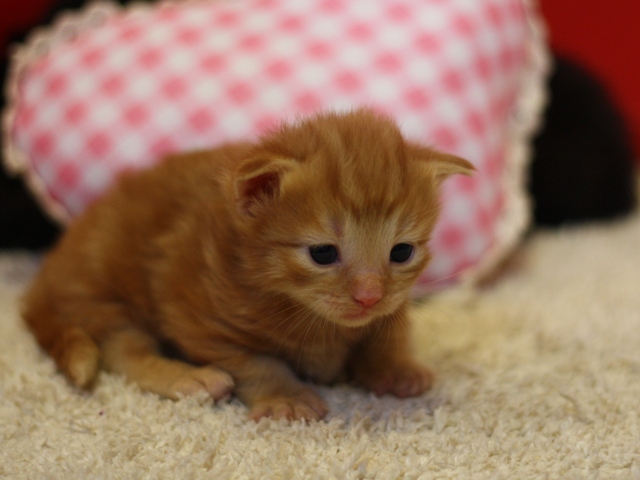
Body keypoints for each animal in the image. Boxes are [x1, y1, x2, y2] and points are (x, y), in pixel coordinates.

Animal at [21, 109, 470, 420]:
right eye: (323, 253)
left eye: (402, 252)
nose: (369, 296)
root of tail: (48, 272)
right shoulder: (199, 316)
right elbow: (257, 363)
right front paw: (286, 397)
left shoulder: (391, 306)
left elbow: (386, 330)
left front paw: (395, 367)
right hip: (101, 293)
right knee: (123, 350)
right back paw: (186, 377)